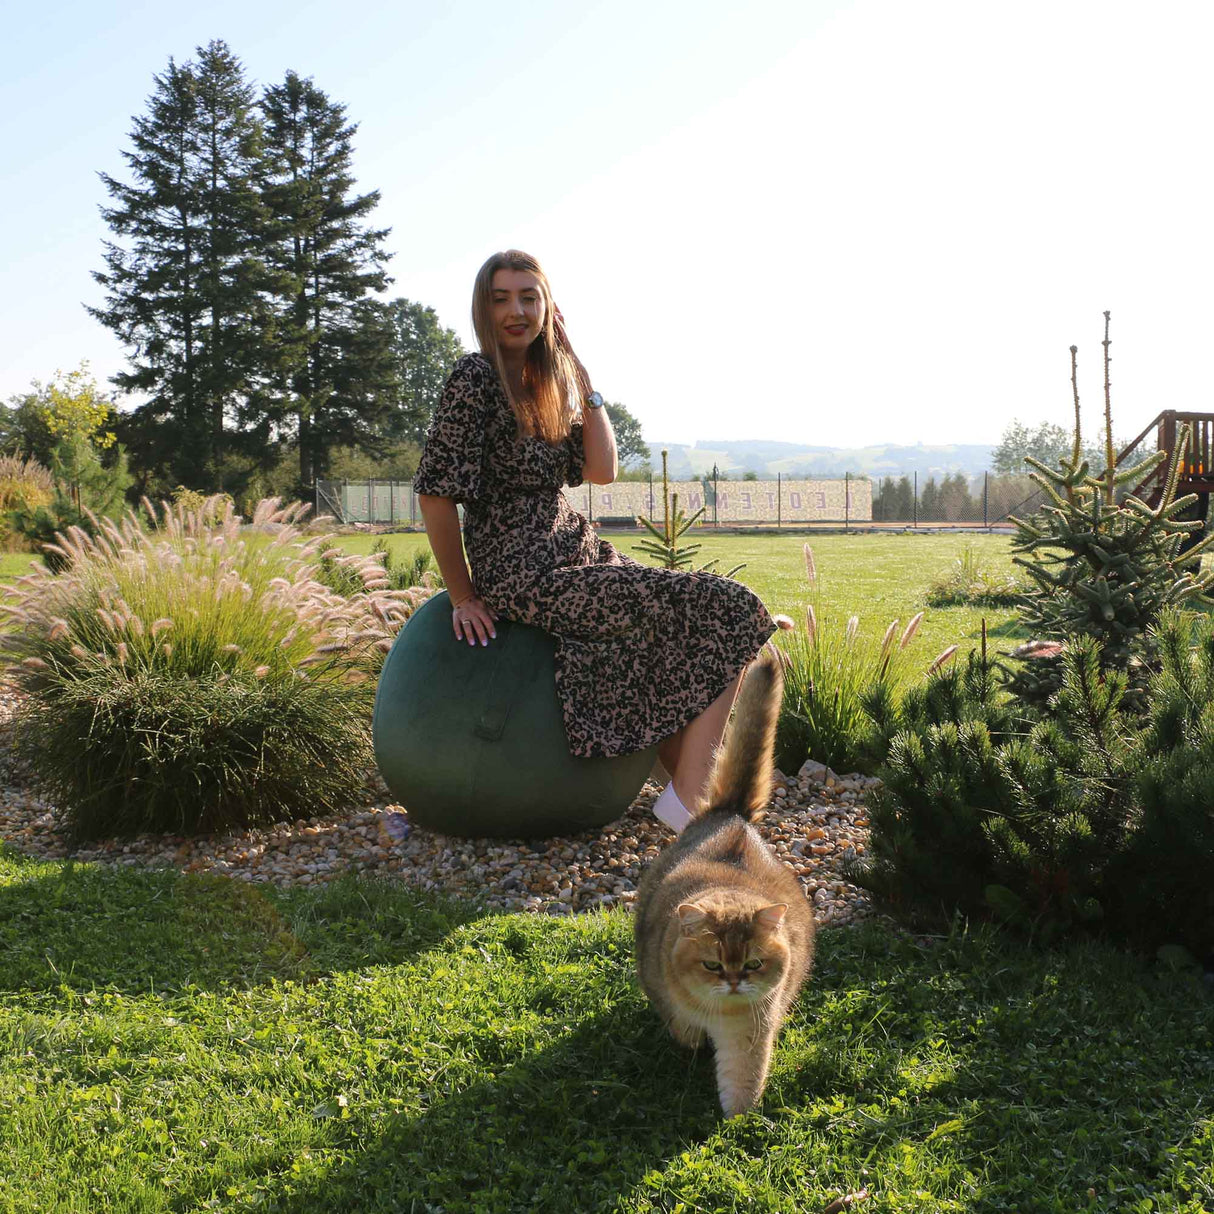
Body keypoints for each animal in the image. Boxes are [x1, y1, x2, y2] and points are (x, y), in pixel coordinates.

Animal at [636, 650, 815, 1112]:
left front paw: (738, 1119)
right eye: (712, 965)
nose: (734, 981)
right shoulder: (670, 1001)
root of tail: (732, 815)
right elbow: (684, 1031)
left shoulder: (752, 1031)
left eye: (753, 963)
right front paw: (694, 1045)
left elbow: (742, 1081)